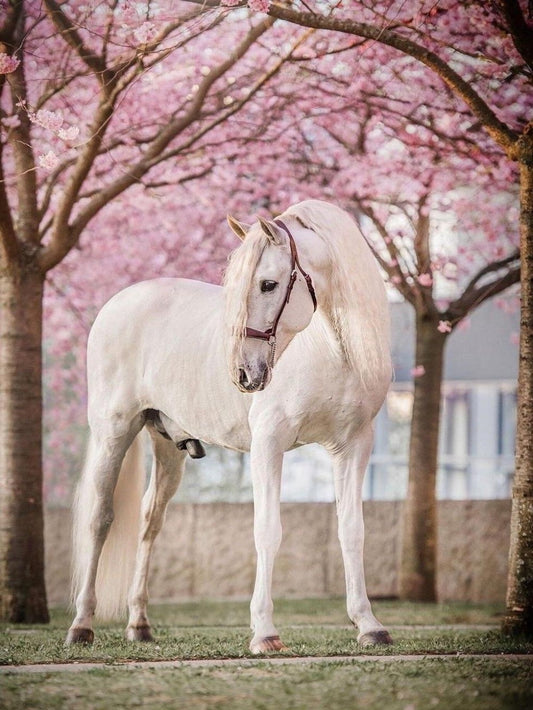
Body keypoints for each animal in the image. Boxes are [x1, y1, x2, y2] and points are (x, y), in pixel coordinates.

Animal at [65, 199, 393, 653]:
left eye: (269, 284)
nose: (243, 373)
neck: (331, 350)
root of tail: (120, 301)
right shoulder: (268, 444)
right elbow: (267, 531)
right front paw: (265, 632)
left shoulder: (353, 447)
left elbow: (352, 531)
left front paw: (368, 624)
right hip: (113, 432)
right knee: (99, 519)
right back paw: (81, 625)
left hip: (166, 445)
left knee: (150, 522)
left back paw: (139, 623)